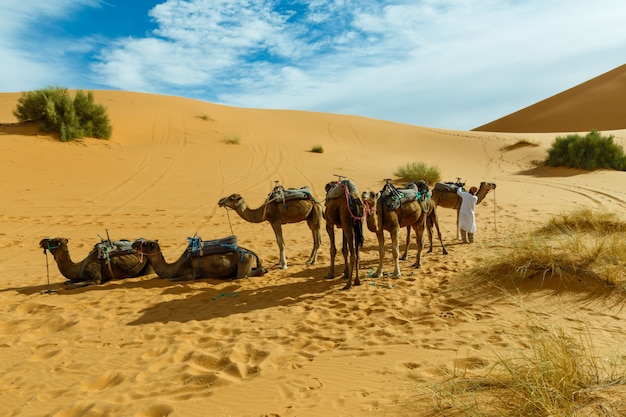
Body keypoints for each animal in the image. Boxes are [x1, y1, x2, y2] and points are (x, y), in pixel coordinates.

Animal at [133, 237, 264, 280]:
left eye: (145, 243)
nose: (134, 243)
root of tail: (250, 252)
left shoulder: (190, 275)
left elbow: (173, 279)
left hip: (244, 260)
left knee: (245, 275)